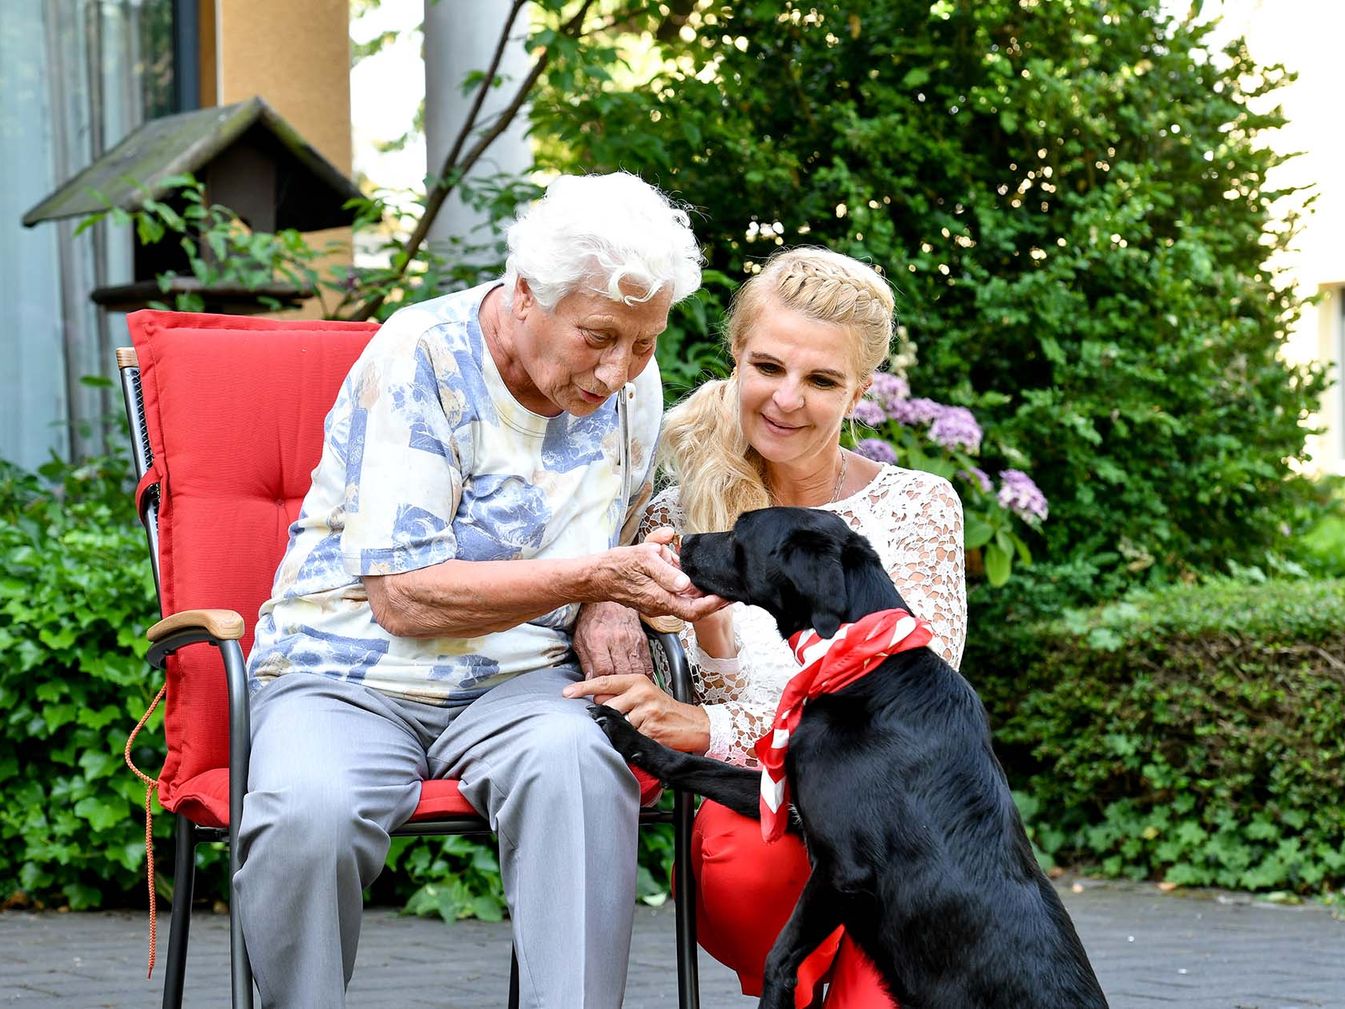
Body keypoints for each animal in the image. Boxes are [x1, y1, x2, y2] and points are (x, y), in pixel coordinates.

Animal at [594, 508, 1108, 1009]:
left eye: (741, 530)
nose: (682, 539)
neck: (859, 665)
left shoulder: (843, 870)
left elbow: (779, 959)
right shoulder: (790, 801)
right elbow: (695, 765)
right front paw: (627, 731)